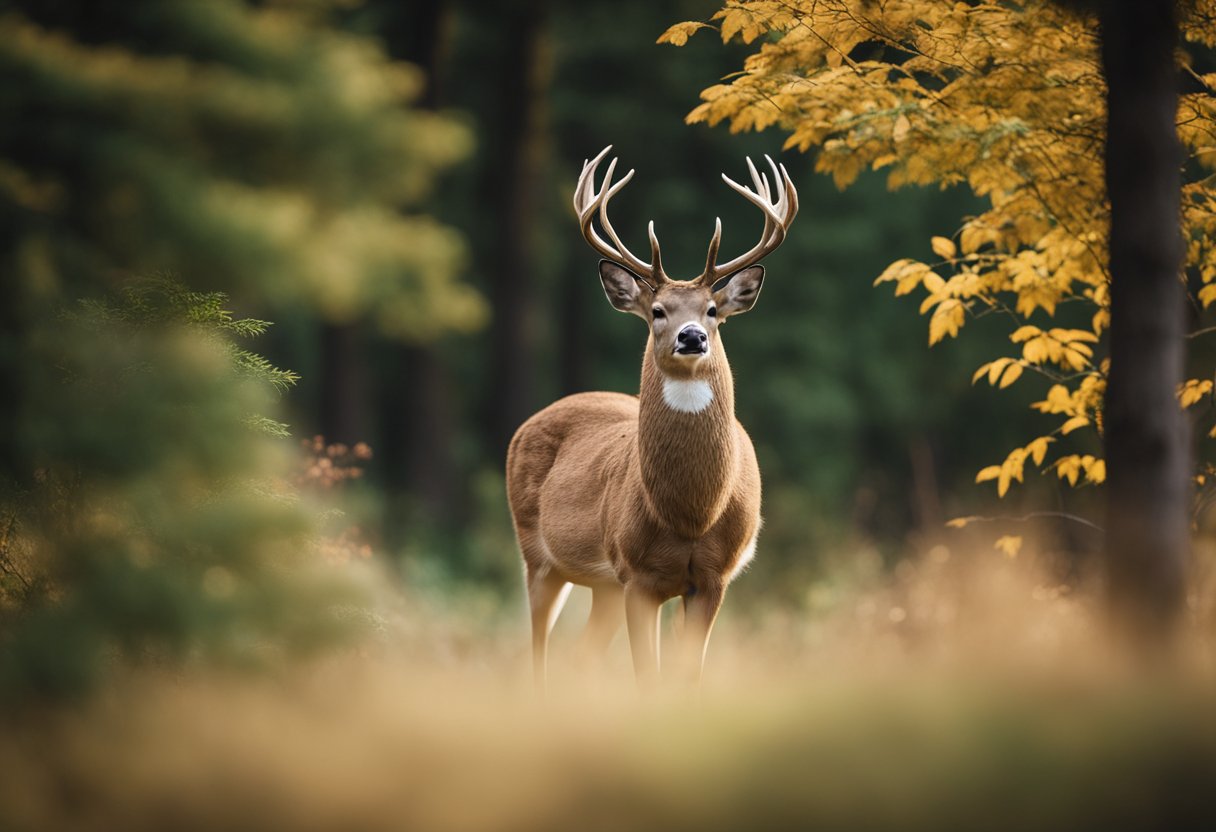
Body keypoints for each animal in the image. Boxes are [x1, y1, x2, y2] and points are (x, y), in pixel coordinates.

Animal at [505, 144, 797, 690]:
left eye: (711, 311)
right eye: (658, 310)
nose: (691, 336)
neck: (691, 513)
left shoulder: (713, 577)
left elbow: (687, 678)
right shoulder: (636, 574)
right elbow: (648, 679)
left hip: (601, 586)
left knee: (580, 656)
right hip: (537, 552)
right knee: (537, 651)